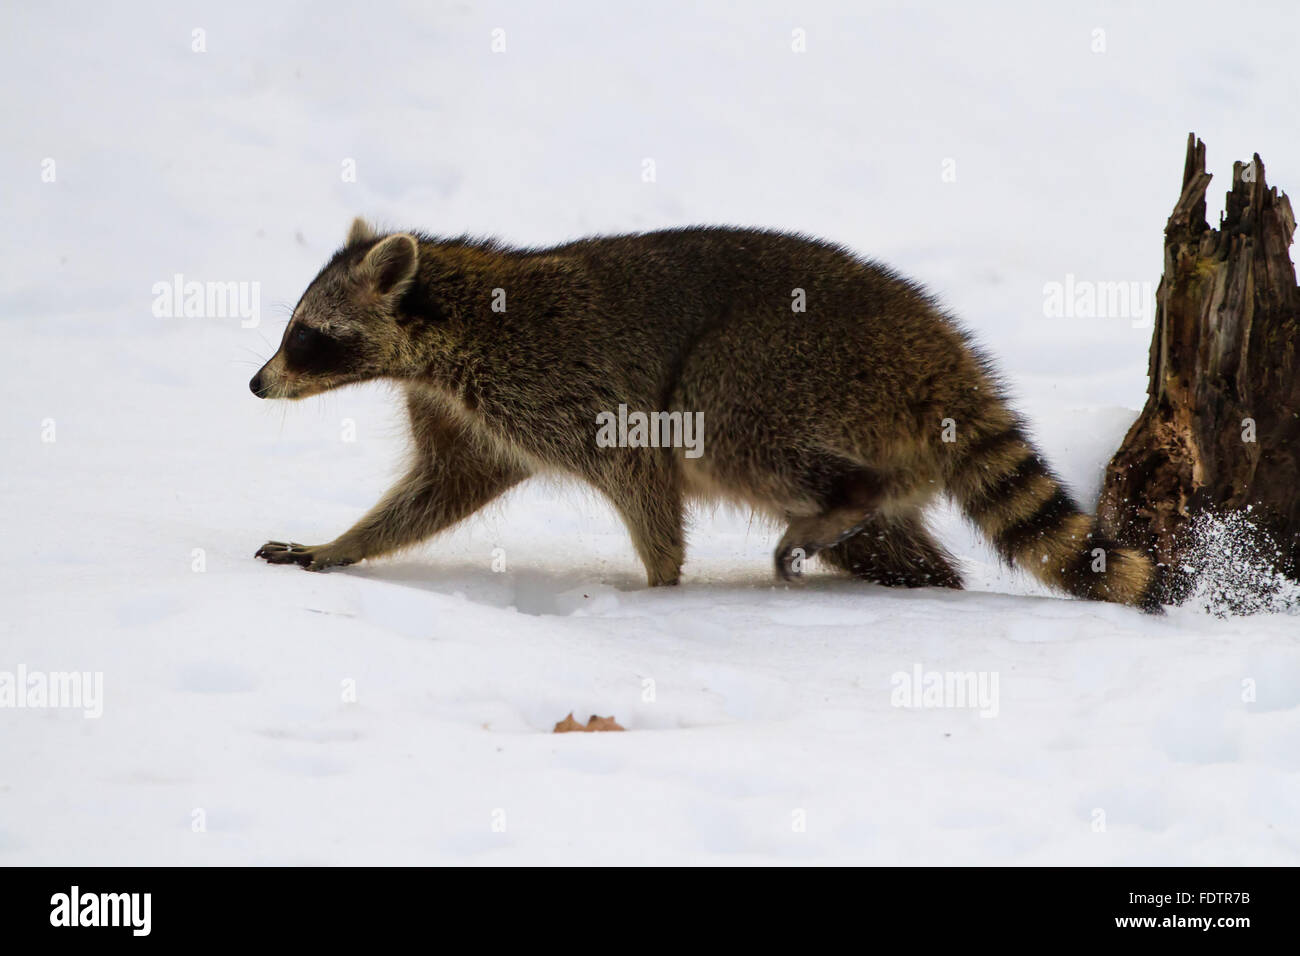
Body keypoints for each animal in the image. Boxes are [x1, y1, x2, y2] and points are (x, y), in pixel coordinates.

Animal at [250, 218, 1161, 610]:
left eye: (307, 336)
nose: (257, 385)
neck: (454, 311)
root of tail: (944, 359)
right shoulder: (468, 413)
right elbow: (439, 491)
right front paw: (341, 545)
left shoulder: (564, 383)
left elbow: (644, 474)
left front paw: (661, 587)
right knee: (890, 540)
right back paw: (917, 578)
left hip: (791, 368)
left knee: (720, 421)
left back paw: (845, 498)